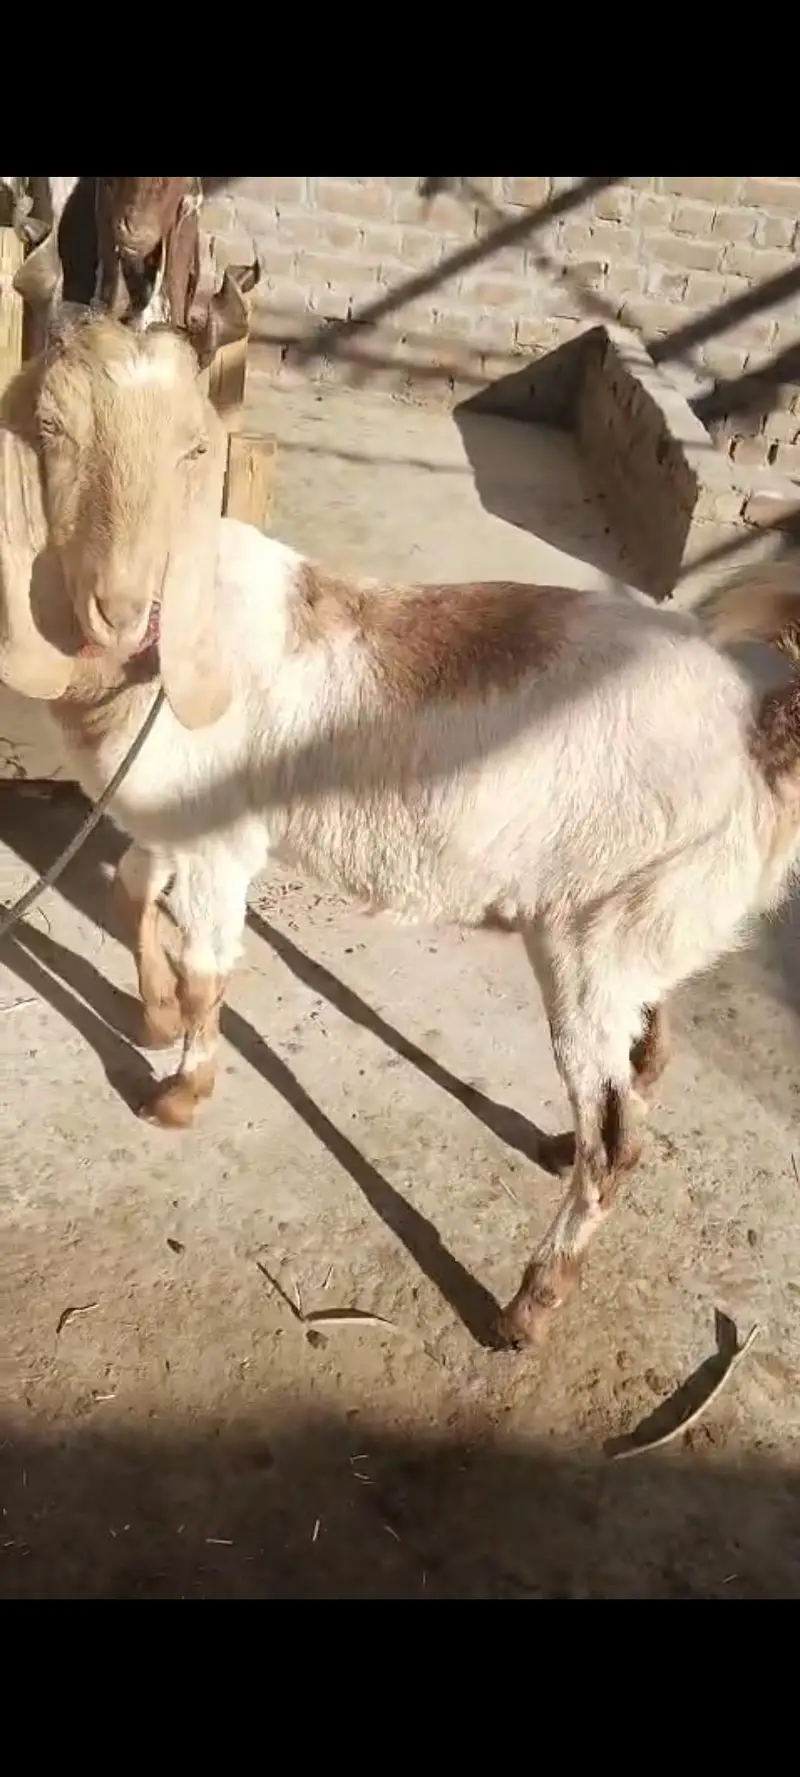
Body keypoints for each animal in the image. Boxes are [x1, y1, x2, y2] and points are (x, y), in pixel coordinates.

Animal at [4, 312, 800, 1350]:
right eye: (51, 429)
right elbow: (131, 892)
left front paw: (177, 1092)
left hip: (591, 944)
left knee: (619, 1134)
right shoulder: (173, 820)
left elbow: (210, 965)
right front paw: (156, 1013)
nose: (119, 604)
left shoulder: (221, 842)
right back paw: (557, 1147)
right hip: (641, 923)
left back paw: (528, 1306)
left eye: (192, 449)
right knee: (646, 1055)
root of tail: (761, 721)